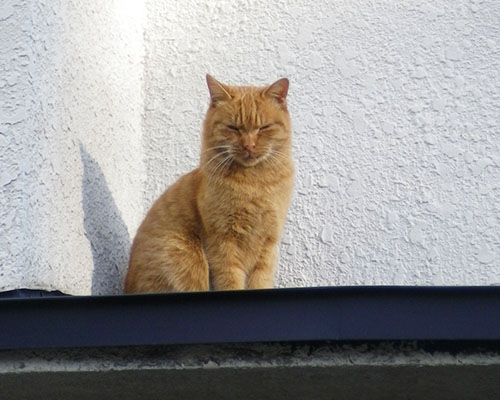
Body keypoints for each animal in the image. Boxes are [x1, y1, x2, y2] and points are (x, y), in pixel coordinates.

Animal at [124, 75, 292, 294]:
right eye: (233, 128)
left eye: (263, 128)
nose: (249, 145)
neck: (254, 185)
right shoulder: (223, 242)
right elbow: (230, 281)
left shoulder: (267, 246)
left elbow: (260, 281)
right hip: (186, 256)